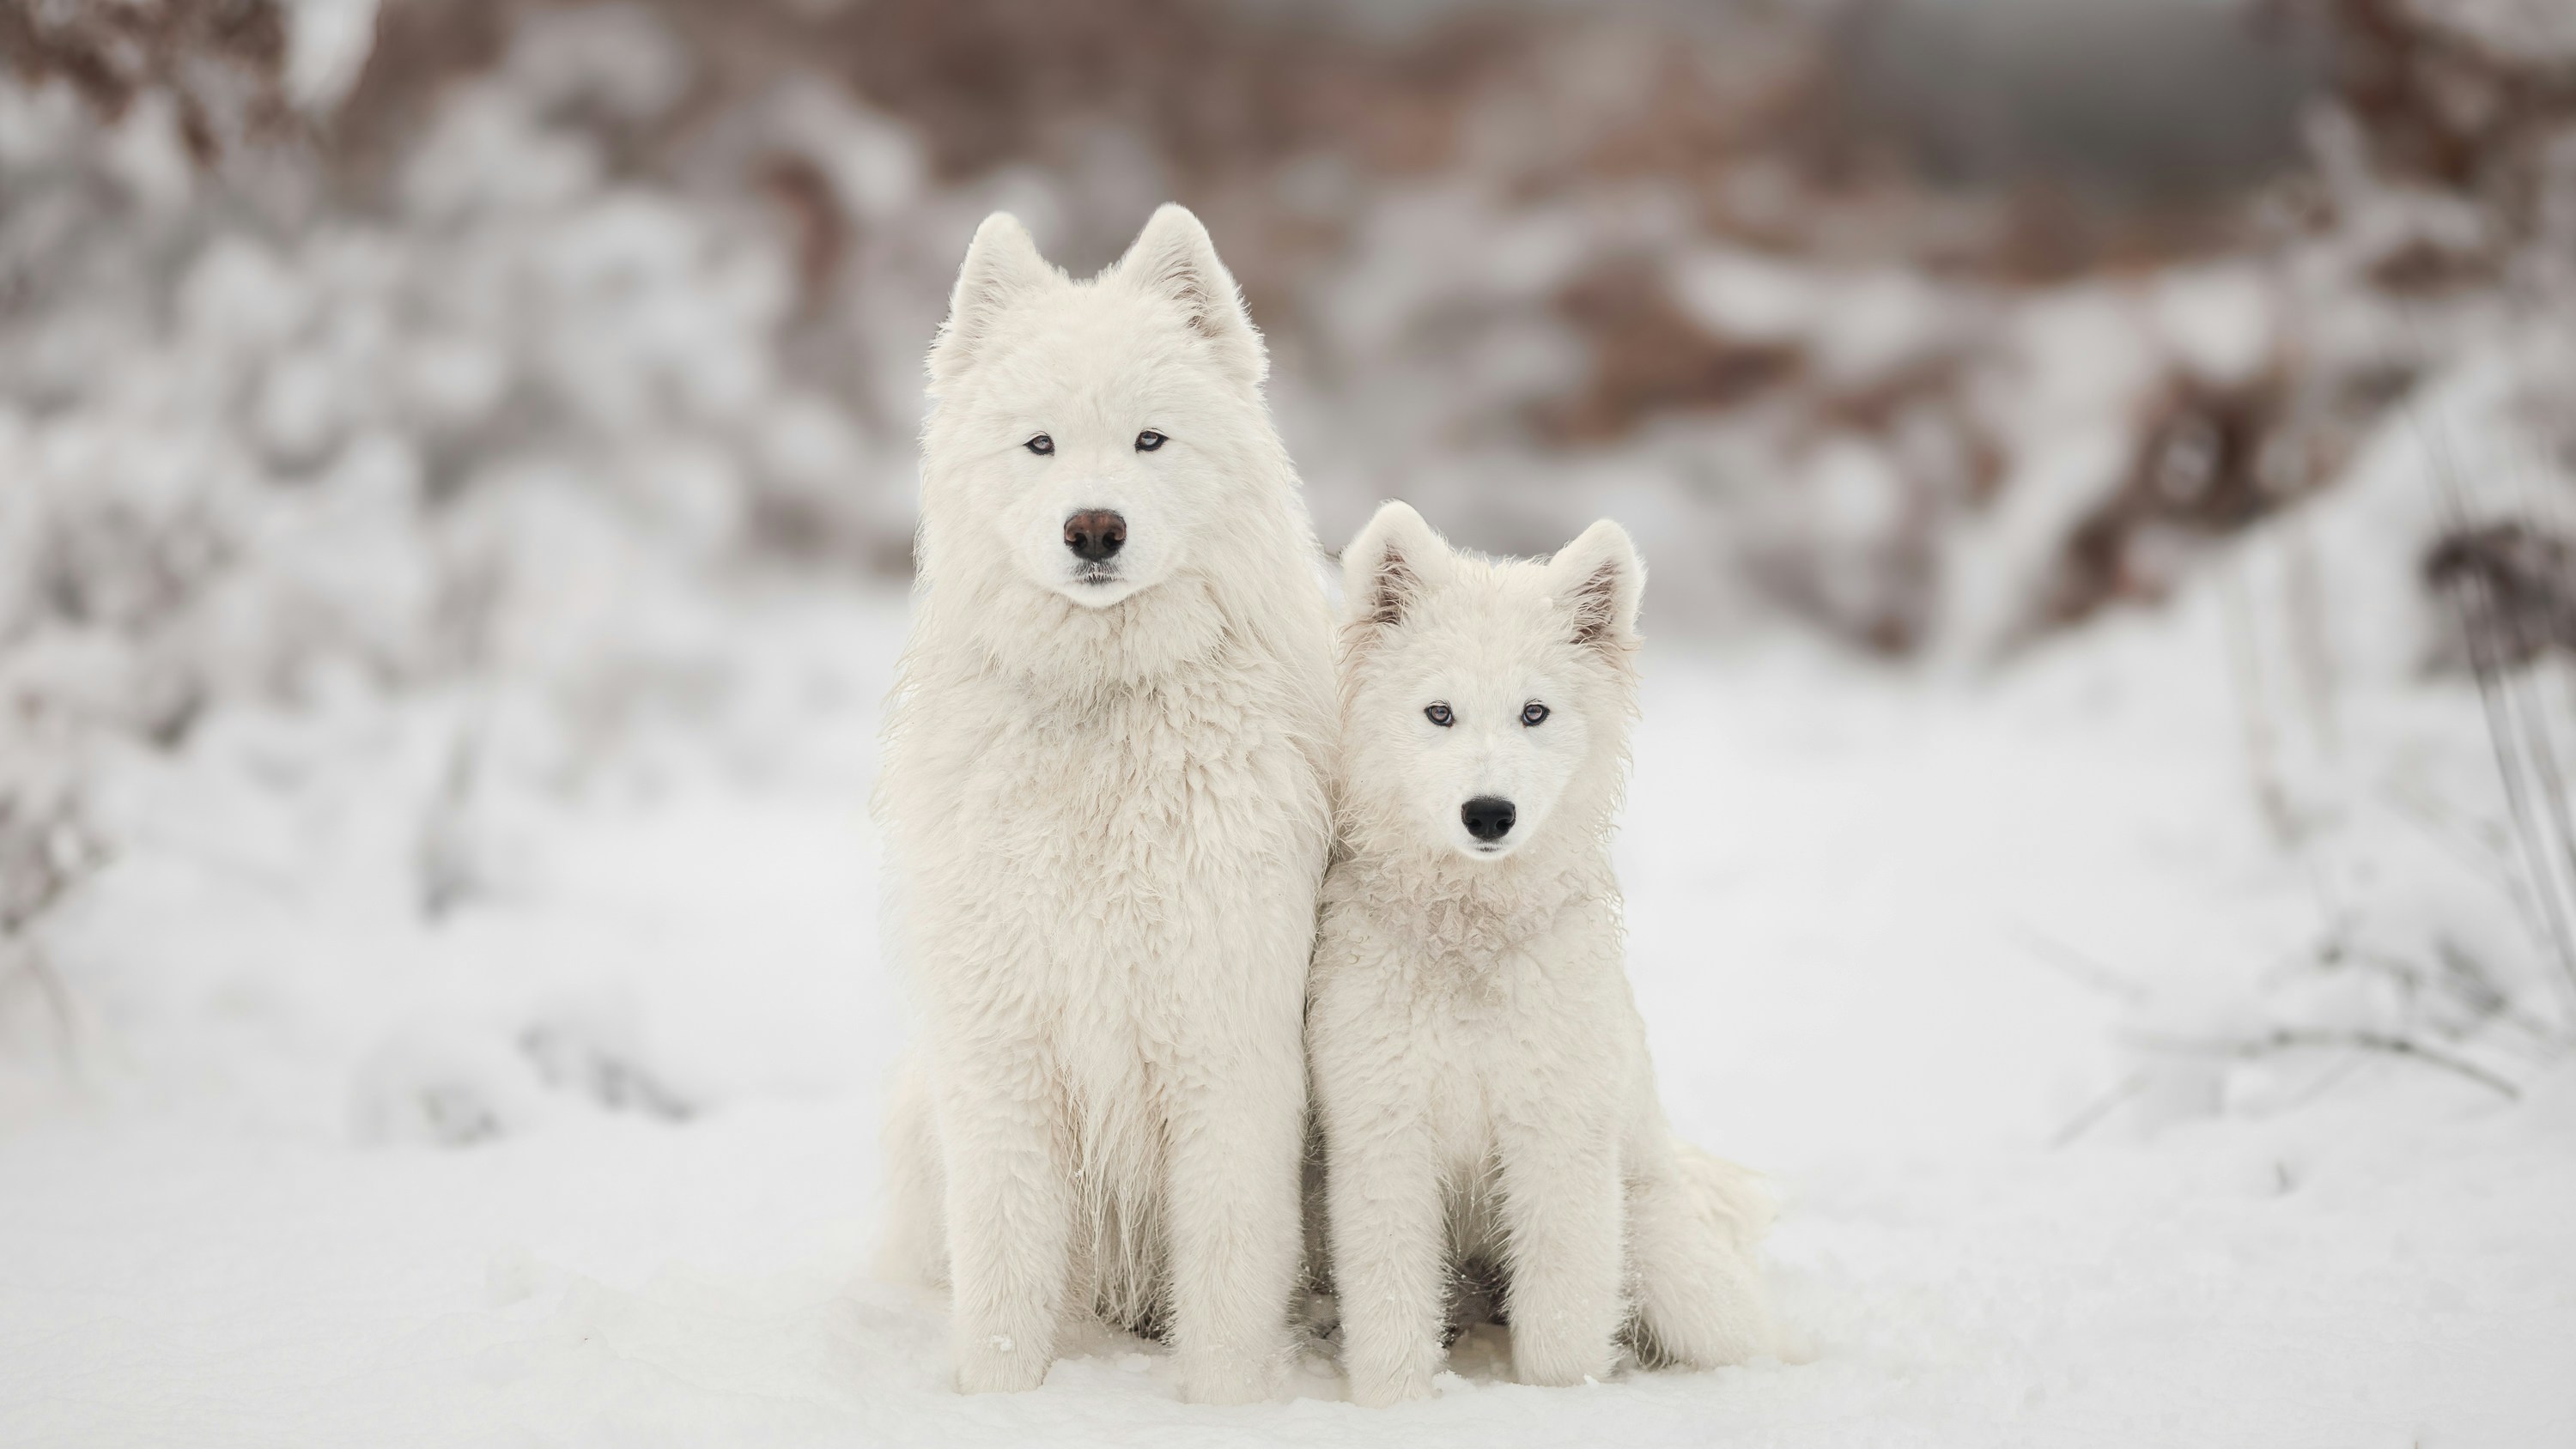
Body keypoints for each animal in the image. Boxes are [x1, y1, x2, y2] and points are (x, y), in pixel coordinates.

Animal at [881, 207, 1340, 1410]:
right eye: (1040, 445)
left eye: (1149, 441)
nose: (1095, 528)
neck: (1105, 707)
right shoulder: (1001, 1051)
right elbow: (1003, 1276)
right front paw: (1000, 1404)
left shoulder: (1224, 1047)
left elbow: (1226, 1271)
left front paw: (1225, 1409)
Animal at [1309, 501, 1772, 1410]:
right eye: (1439, 713)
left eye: (1535, 713)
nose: (1489, 814)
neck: (1470, 942)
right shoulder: (1382, 1128)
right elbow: (1390, 1304)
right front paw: (1395, 1408)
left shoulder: (1558, 1136)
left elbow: (1561, 1317)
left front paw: (1560, 1405)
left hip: (1658, 1250)